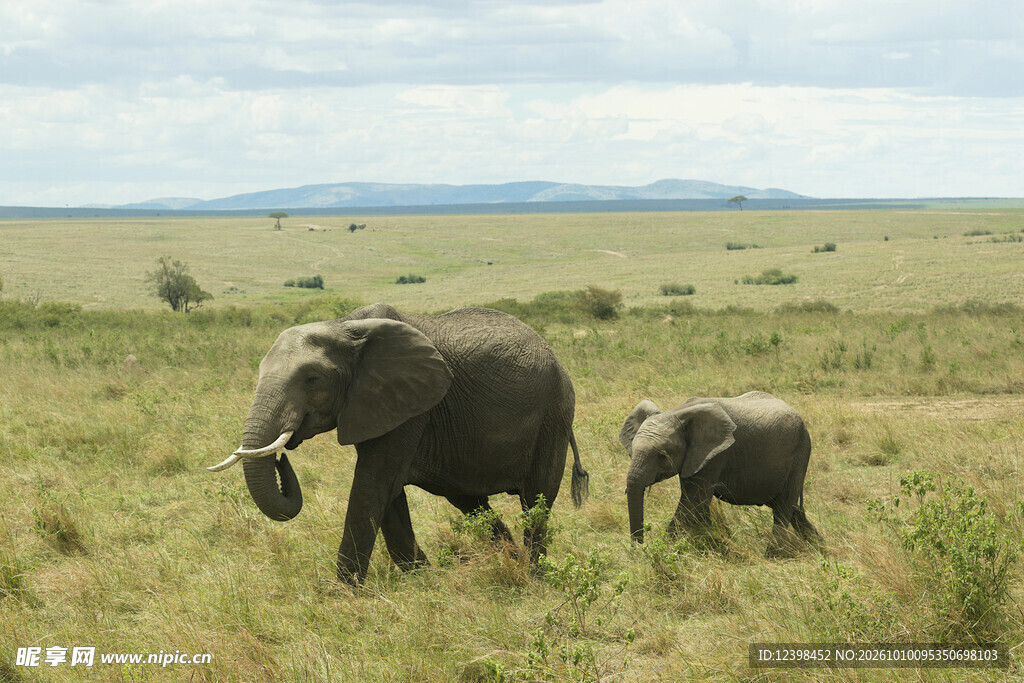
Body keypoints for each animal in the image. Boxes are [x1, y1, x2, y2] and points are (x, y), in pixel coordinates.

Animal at [209, 303, 588, 583]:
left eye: (312, 379)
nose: (280, 457)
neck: (343, 326)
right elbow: (386, 493)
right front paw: (423, 578)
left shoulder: (410, 406)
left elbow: (372, 484)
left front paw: (341, 594)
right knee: (470, 501)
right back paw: (512, 560)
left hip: (553, 414)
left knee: (536, 499)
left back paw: (533, 574)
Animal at [619, 391, 819, 552]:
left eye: (661, 455)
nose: (638, 550)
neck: (677, 412)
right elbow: (698, 506)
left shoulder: (714, 456)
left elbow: (693, 503)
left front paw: (665, 549)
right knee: (792, 509)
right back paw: (818, 547)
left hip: (800, 453)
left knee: (783, 508)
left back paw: (773, 554)